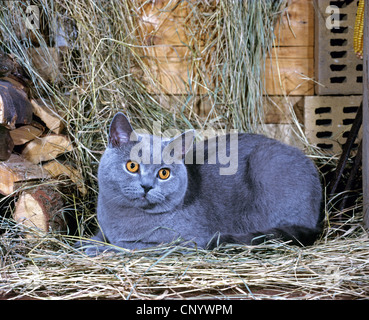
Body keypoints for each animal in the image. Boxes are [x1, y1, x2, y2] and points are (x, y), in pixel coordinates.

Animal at [82, 114, 320, 254]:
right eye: (132, 166)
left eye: (164, 173)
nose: (147, 186)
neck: (123, 218)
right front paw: (88, 241)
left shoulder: (185, 241)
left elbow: (132, 246)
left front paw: (98, 248)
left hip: (266, 163)